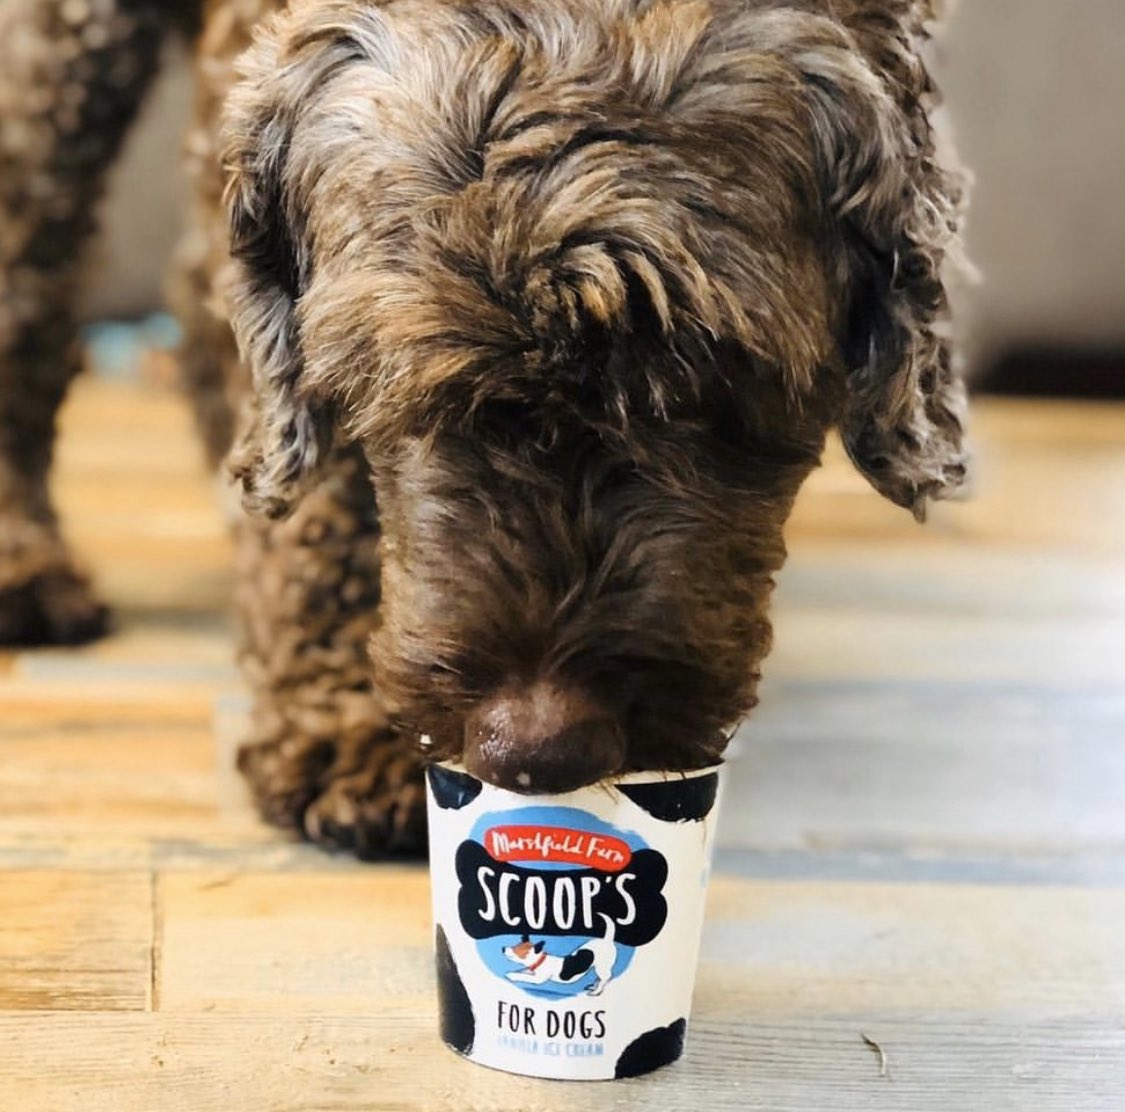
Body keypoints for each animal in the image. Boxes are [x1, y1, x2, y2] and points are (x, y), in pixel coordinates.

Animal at [0, 0, 967, 859]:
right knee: (33, 279)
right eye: (395, 373)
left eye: (707, 373)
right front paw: (348, 715)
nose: (538, 751)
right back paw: (27, 562)